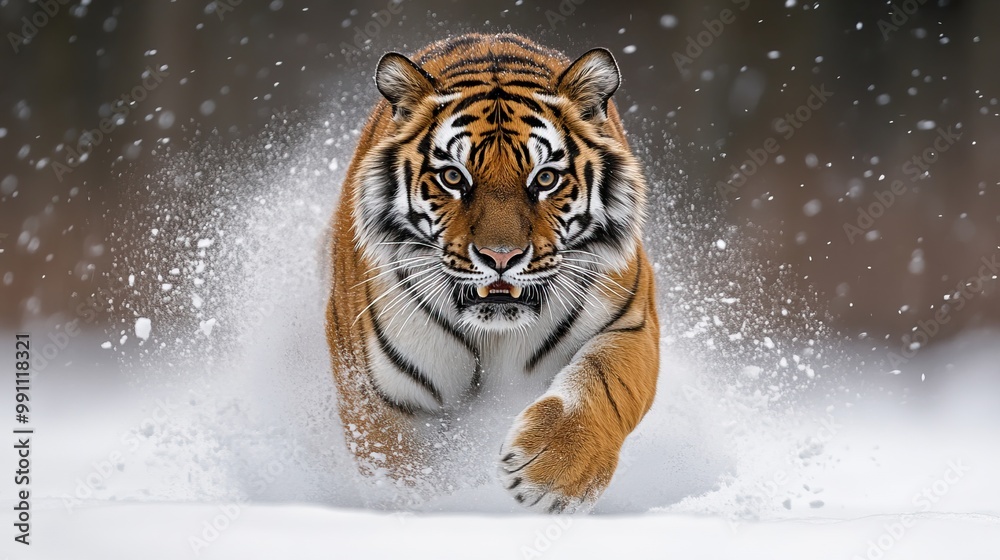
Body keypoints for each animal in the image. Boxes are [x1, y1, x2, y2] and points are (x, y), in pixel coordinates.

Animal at [326, 33, 659, 513]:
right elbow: (399, 470)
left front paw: (552, 476)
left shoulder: (630, 323)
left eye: (545, 179)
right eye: (452, 177)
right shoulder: (376, 389)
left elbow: (603, 387)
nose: (501, 257)